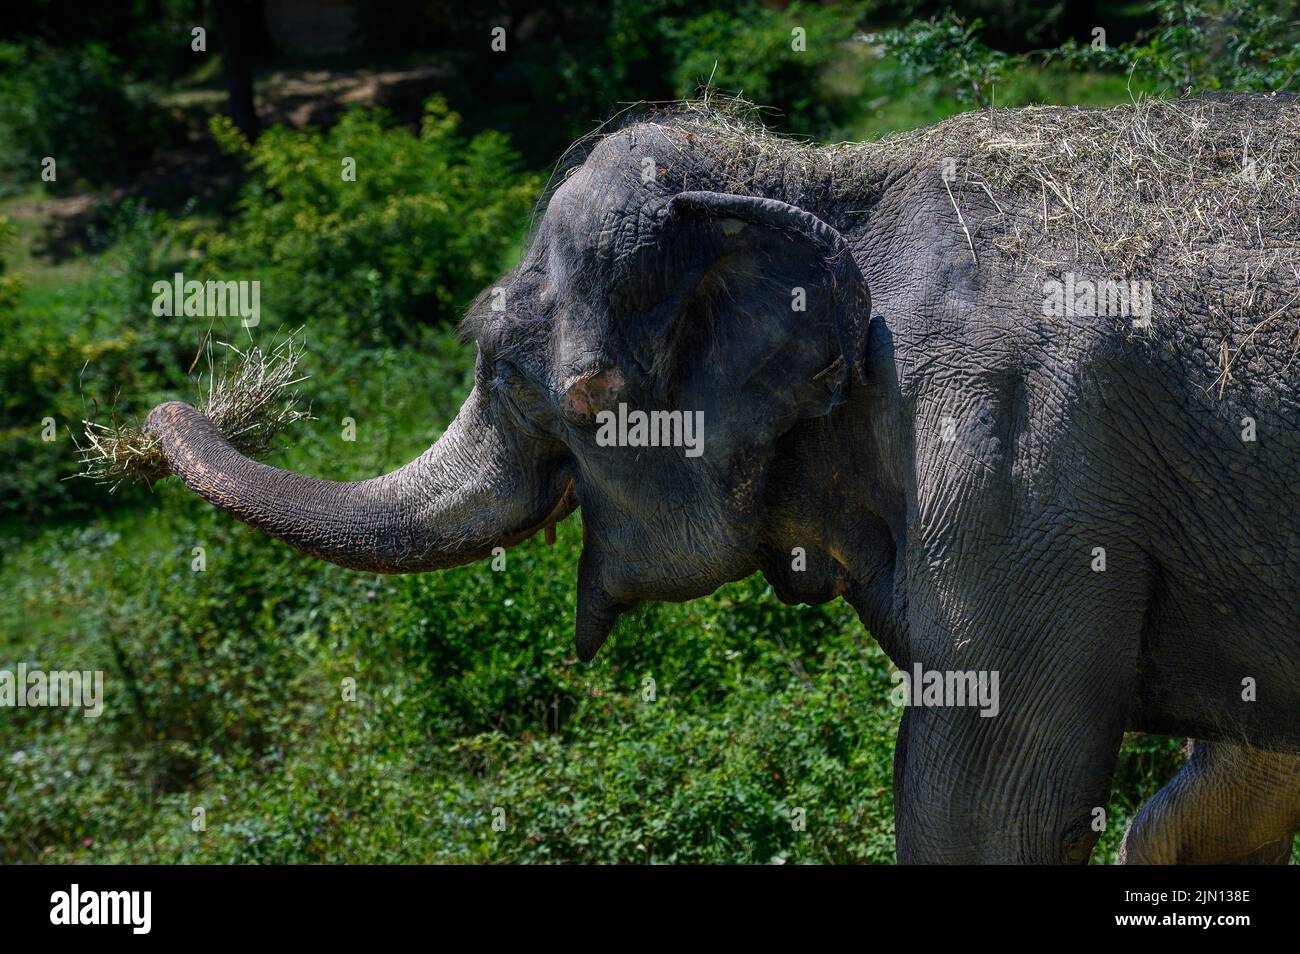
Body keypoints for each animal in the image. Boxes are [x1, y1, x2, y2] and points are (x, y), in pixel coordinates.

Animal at [142, 97, 1300, 868]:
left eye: (577, 394)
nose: (185, 403)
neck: (824, 176)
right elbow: (1234, 776)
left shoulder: (1024, 476)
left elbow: (990, 804)